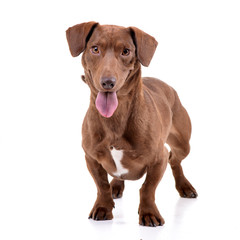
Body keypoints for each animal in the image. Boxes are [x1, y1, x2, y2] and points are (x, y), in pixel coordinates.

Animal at [65, 22, 197, 227]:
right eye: (95, 49)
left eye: (126, 51)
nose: (108, 82)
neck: (115, 119)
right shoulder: (91, 157)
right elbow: (101, 185)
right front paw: (103, 206)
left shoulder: (158, 158)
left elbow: (148, 188)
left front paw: (149, 212)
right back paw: (116, 185)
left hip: (183, 143)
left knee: (174, 160)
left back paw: (184, 185)